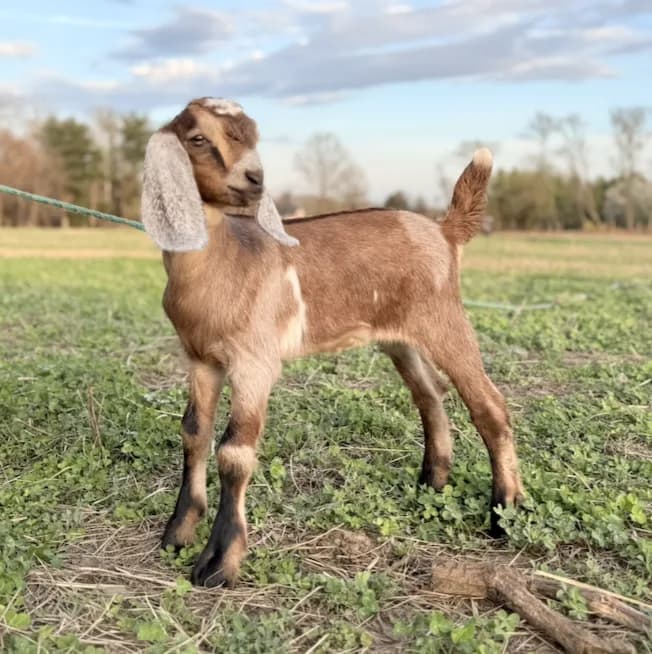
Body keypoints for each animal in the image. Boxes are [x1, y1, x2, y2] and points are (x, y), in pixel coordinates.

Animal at [141, 97, 524, 588]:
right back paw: (432, 484)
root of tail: (444, 231)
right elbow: (194, 432)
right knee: (430, 394)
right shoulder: (200, 358)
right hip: (400, 337)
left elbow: (234, 453)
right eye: (197, 138)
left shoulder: (254, 361)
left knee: (488, 404)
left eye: (253, 134)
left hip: (445, 319)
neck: (223, 261)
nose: (254, 179)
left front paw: (220, 563)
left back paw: (504, 512)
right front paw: (178, 532)